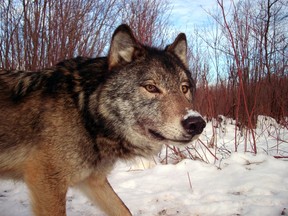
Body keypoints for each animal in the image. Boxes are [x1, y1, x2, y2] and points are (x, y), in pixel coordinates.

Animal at [0, 24, 207, 215]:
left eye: (184, 88)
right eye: (151, 87)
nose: (196, 123)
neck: (85, 112)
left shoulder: (93, 181)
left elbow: (124, 210)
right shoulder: (47, 183)